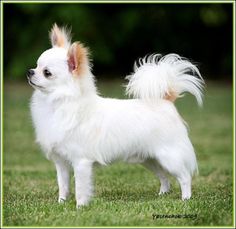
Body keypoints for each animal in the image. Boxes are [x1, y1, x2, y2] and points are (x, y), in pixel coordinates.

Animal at [27, 24, 204, 208]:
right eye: (36, 65)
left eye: (47, 72)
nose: (30, 71)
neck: (56, 103)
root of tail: (166, 101)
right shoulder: (61, 162)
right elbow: (63, 185)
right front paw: (61, 203)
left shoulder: (81, 162)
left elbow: (80, 188)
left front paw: (80, 207)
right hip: (149, 159)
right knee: (164, 176)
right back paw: (163, 194)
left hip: (169, 157)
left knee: (184, 177)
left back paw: (186, 198)